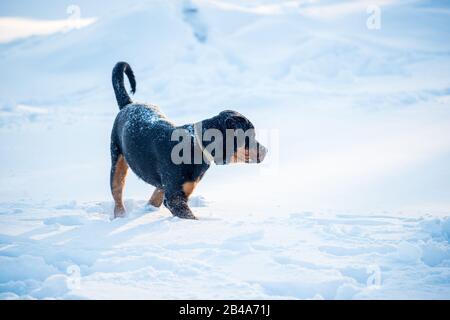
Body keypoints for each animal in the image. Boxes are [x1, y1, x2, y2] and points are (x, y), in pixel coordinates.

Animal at [110, 61, 268, 219]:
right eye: (250, 136)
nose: (266, 150)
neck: (195, 144)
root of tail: (128, 104)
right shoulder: (174, 198)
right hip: (117, 161)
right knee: (117, 192)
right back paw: (120, 216)